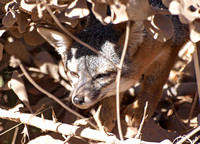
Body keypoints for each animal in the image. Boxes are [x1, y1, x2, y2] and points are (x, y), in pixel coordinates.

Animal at [36, 12, 188, 131]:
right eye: (73, 74)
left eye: (101, 76)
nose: (77, 99)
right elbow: (112, 93)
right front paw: (104, 118)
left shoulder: (172, 44)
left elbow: (154, 82)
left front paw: (140, 109)